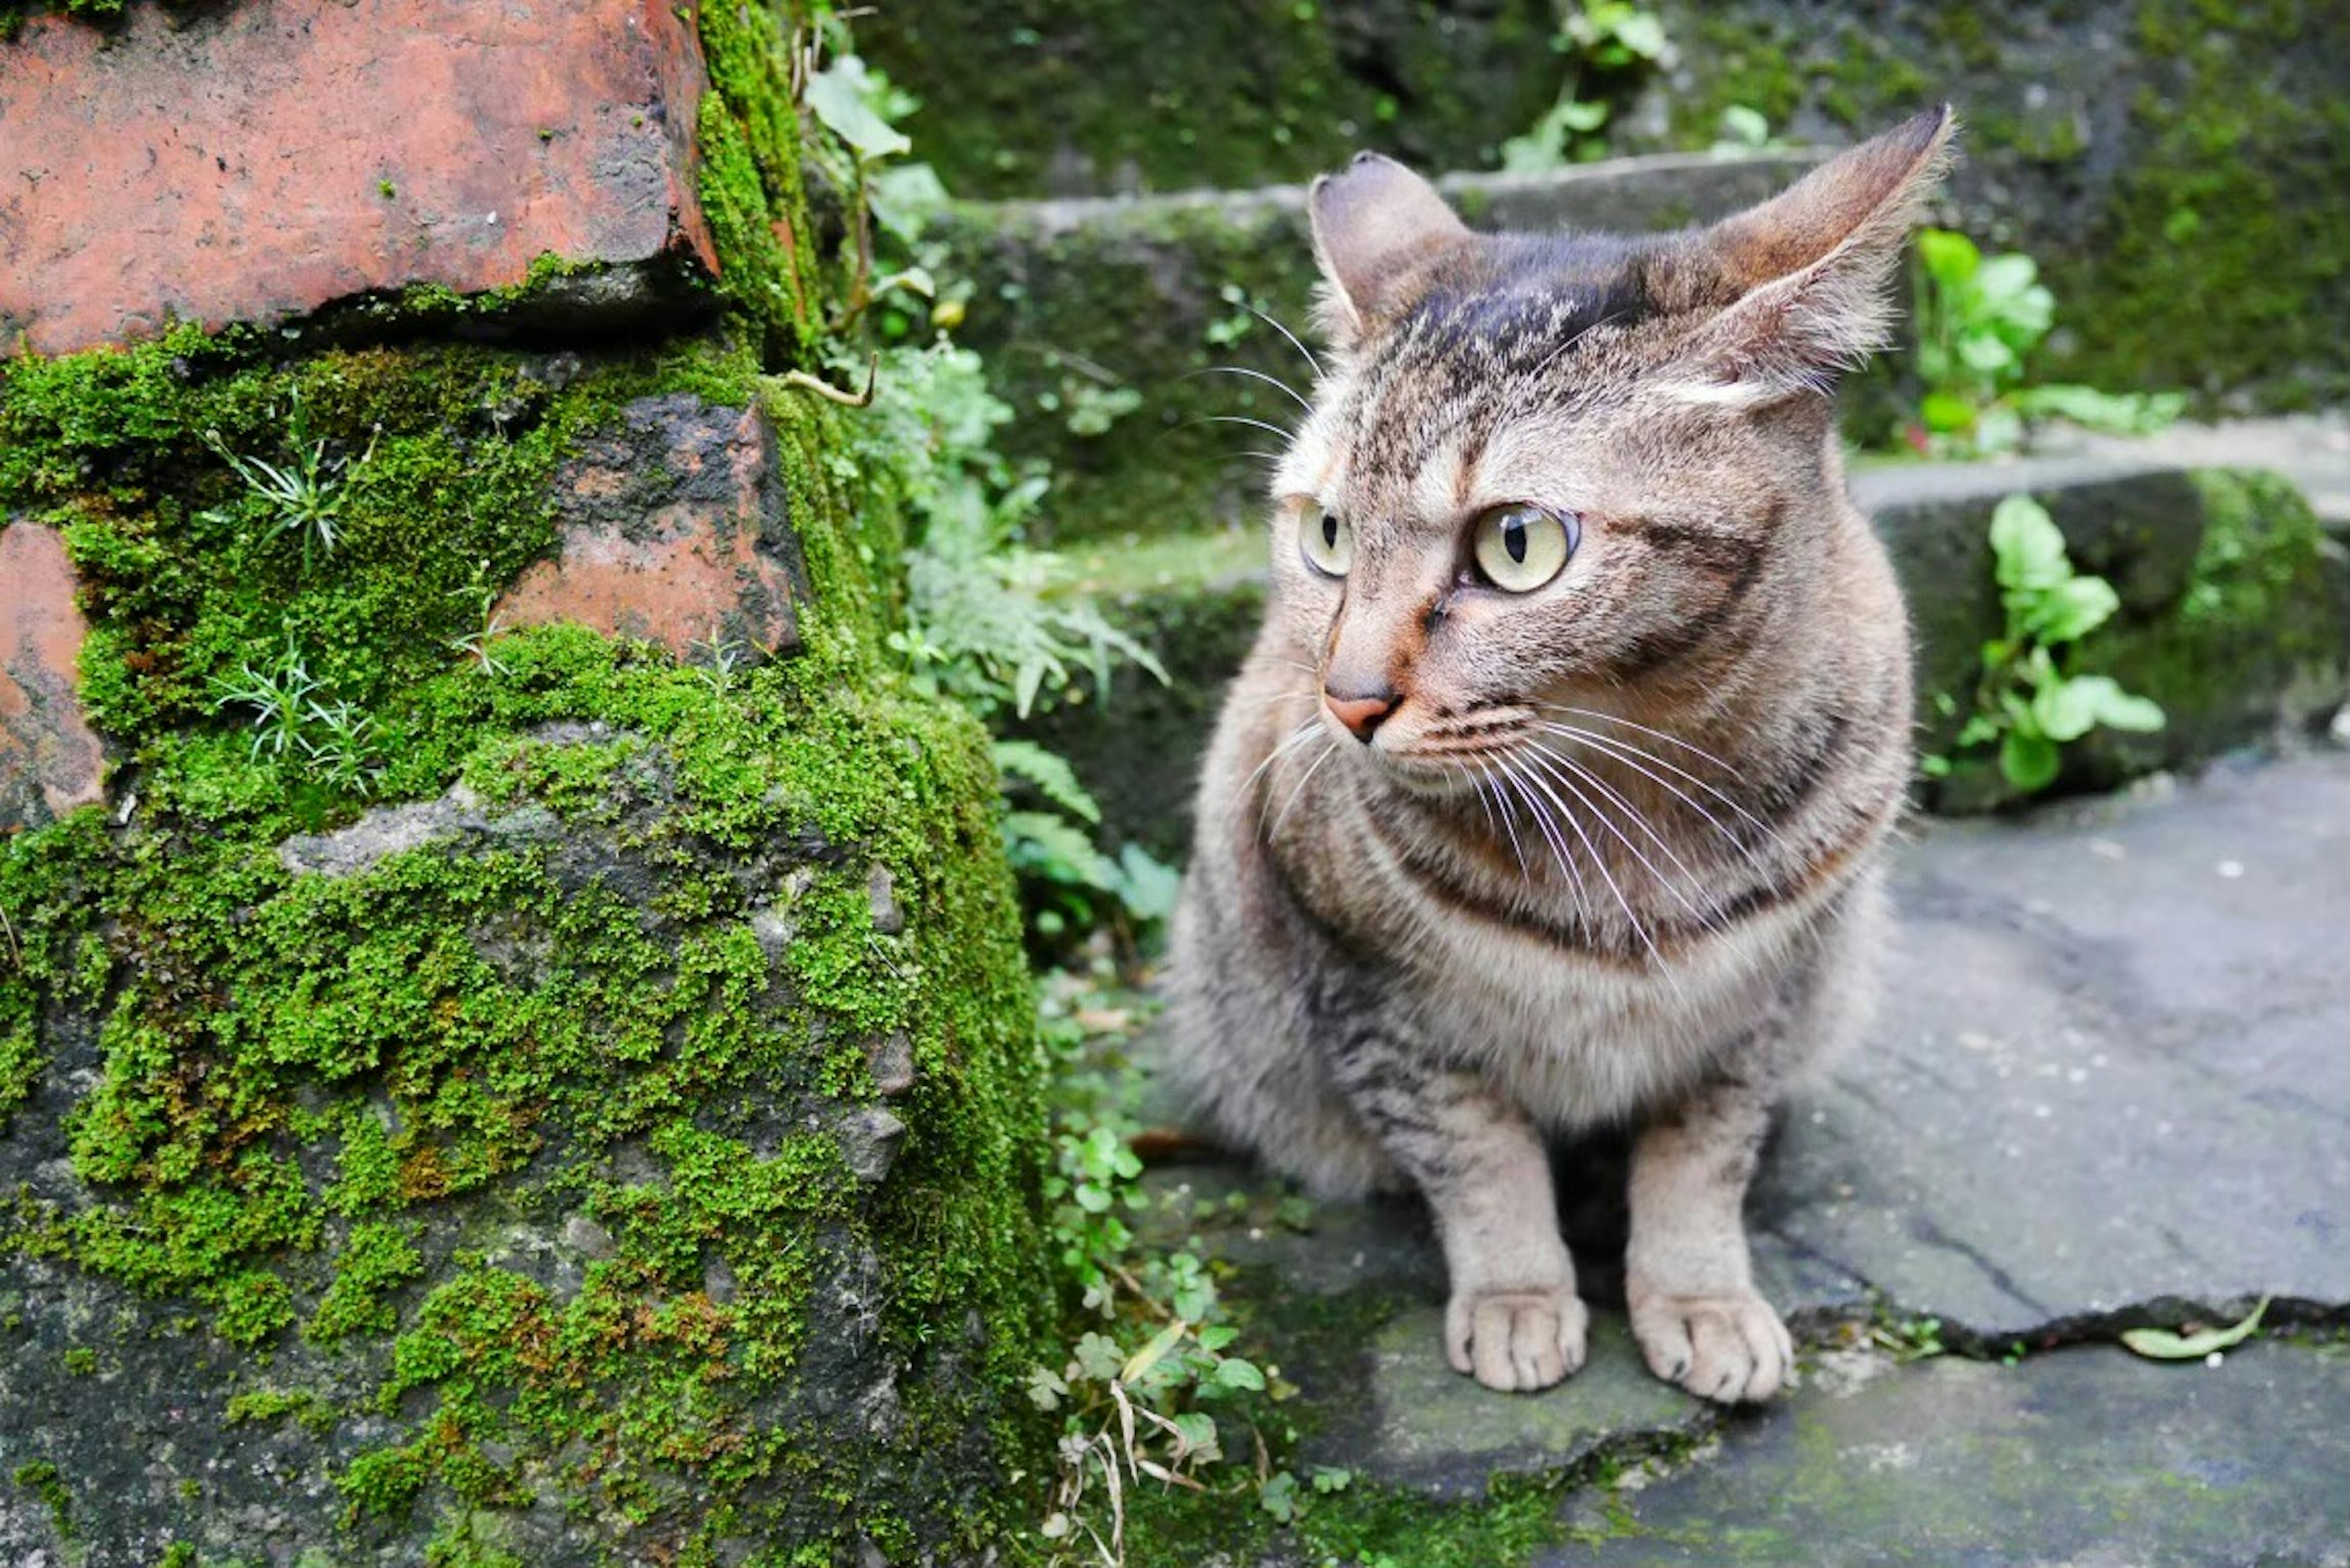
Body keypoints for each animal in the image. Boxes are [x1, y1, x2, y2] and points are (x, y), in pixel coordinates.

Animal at [1165, 113, 1955, 1410]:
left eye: (1517, 544)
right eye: (1328, 536)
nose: (1348, 700)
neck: (1637, 818)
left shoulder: (1771, 999)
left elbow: (1702, 1158)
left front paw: (1701, 1296)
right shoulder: (1371, 995)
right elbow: (1479, 1158)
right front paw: (1519, 1299)